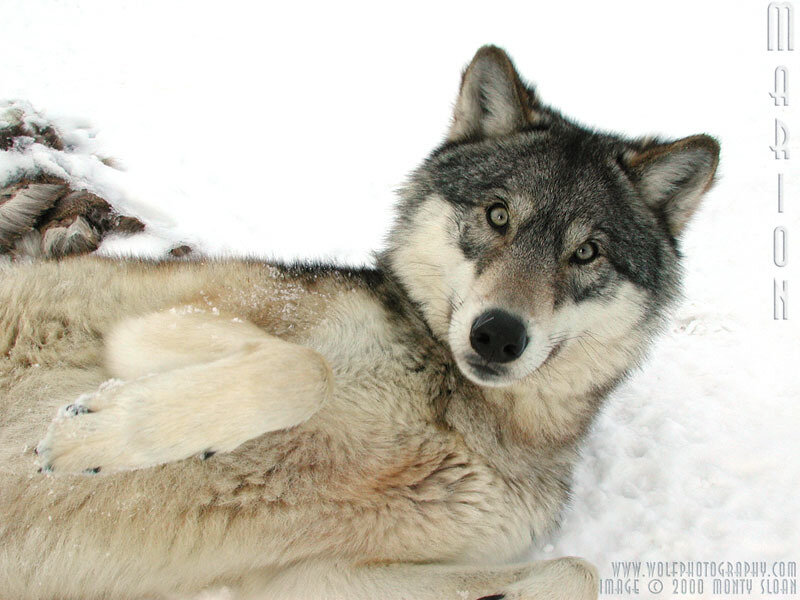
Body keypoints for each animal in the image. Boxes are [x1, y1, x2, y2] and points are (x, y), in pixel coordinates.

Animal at [0, 46, 719, 600]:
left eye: (587, 252)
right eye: (497, 215)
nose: (497, 335)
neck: (460, 417)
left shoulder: (314, 577)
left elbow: (577, 570)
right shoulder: (157, 322)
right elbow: (303, 368)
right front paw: (90, 437)